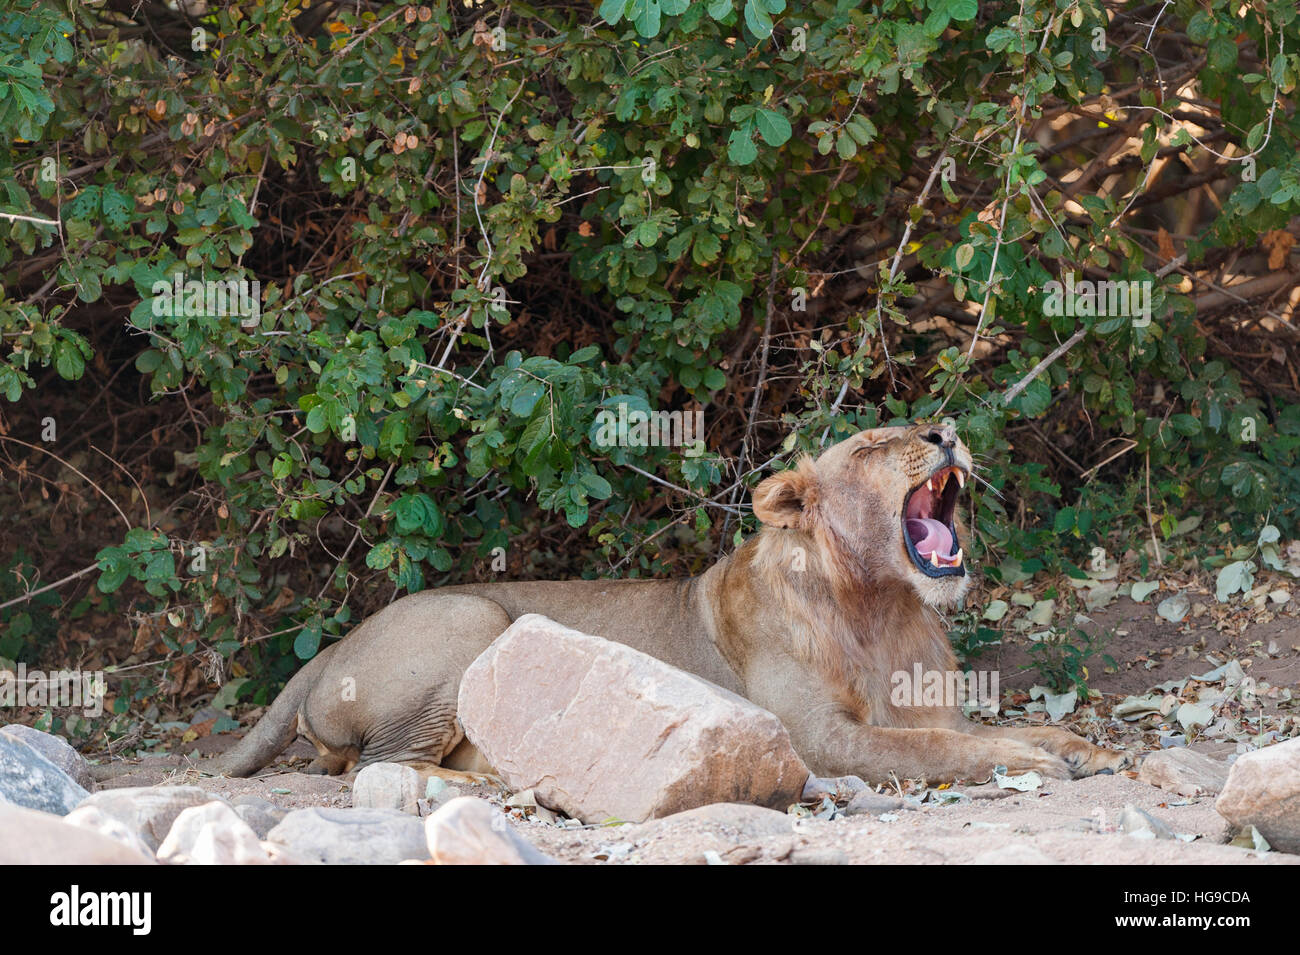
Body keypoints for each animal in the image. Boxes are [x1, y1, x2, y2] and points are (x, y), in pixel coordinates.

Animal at [209, 423, 1128, 788]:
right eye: (873, 444)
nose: (946, 433)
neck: (882, 607)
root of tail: (326, 651)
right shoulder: (818, 738)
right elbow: (936, 751)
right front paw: (1036, 761)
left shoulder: (925, 703)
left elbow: (976, 731)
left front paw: (1078, 745)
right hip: (476, 618)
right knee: (377, 767)